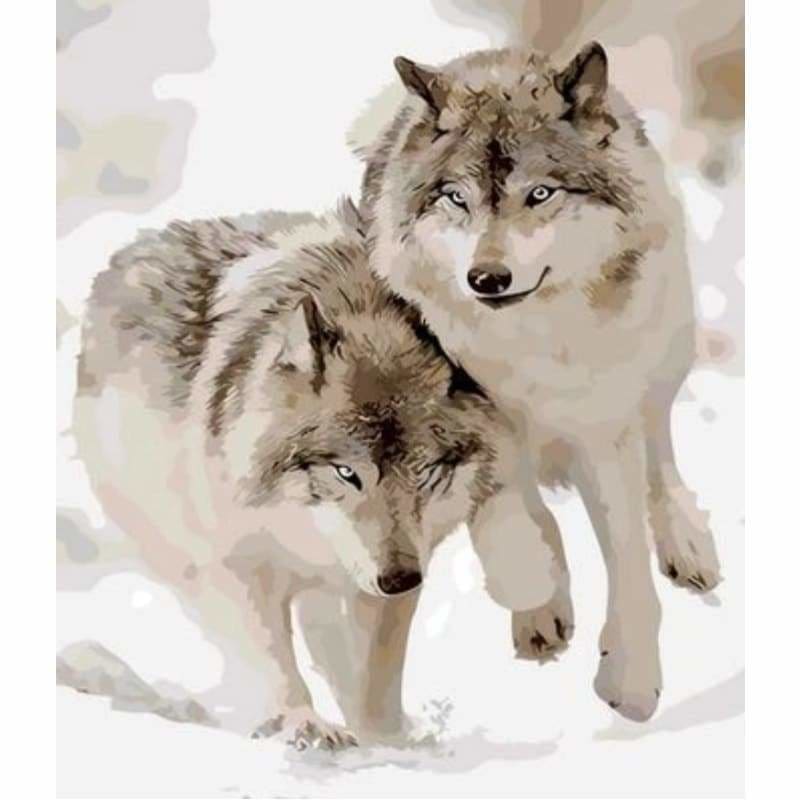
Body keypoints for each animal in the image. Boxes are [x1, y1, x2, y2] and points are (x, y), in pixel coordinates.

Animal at [73, 202, 512, 749]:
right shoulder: (240, 565)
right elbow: (274, 658)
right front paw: (303, 724)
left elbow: (377, 674)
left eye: (427, 471)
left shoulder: (395, 571)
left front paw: (386, 740)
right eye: (346, 472)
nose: (398, 578)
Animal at [358, 43, 722, 721]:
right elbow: (512, 520)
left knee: (659, 446)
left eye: (541, 193)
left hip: (666, 349)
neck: (534, 346)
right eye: (457, 198)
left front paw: (632, 679)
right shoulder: (479, 420)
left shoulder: (605, 428)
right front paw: (538, 596)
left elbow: (628, 557)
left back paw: (686, 542)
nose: (487, 278)